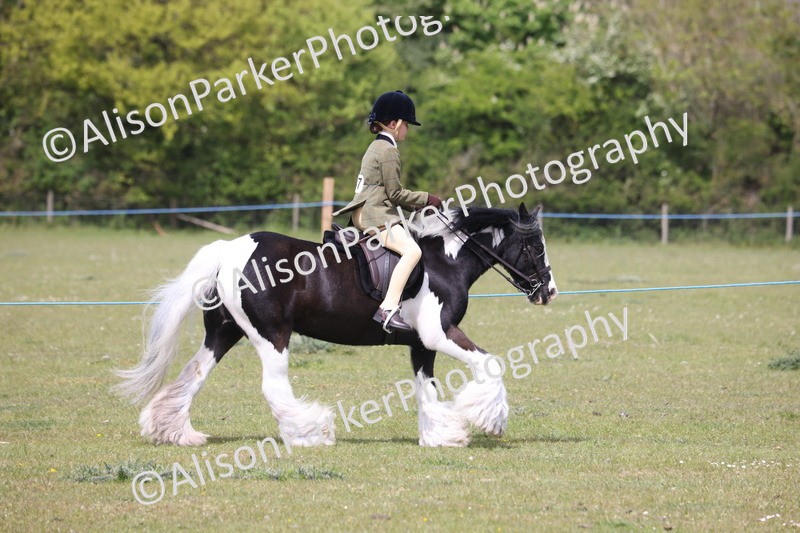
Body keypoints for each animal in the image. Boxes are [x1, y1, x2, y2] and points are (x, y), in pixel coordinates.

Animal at [115, 203, 558, 447]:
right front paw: (489, 420)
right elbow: (490, 364)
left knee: (193, 375)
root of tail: (230, 249)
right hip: (270, 335)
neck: (443, 262)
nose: (549, 292)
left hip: (225, 332)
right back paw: (311, 432)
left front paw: (442, 436)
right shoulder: (439, 334)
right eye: (535, 247)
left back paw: (174, 432)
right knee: (273, 387)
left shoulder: (421, 345)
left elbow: (427, 390)